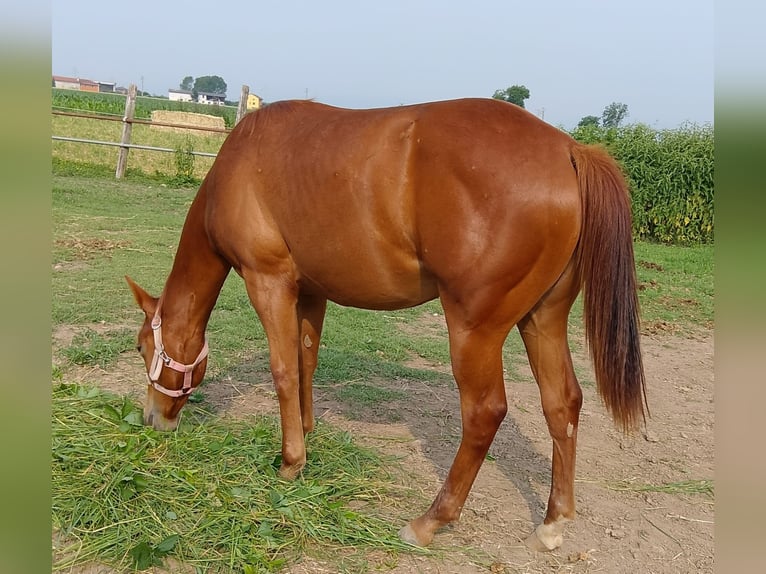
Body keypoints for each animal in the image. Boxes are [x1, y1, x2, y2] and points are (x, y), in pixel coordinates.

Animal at [126, 97, 646, 552]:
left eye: (141, 347)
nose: (153, 420)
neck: (238, 166)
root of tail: (570, 150)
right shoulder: (310, 291)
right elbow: (306, 362)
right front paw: (308, 432)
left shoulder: (268, 281)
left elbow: (284, 370)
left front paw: (291, 463)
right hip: (542, 319)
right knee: (563, 404)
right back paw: (553, 523)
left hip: (474, 329)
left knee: (485, 413)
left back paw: (430, 521)